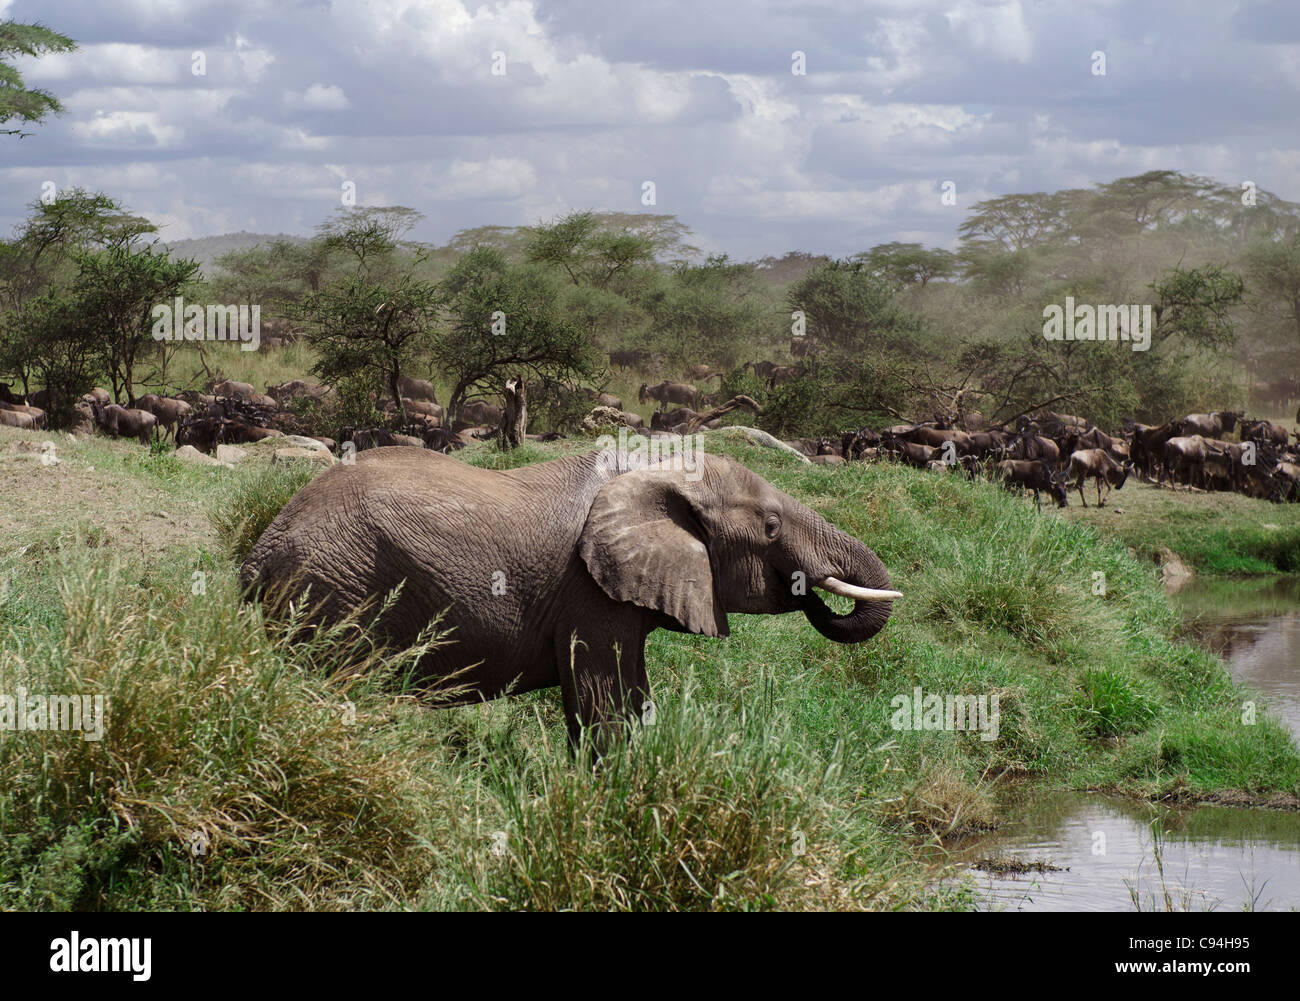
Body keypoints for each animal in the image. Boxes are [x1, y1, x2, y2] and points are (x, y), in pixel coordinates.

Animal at [239, 447, 899, 748]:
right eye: (769, 526)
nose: (809, 589)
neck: (659, 467)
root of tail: (260, 549)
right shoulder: (588, 590)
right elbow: (603, 704)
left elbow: (633, 698)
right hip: (331, 592)